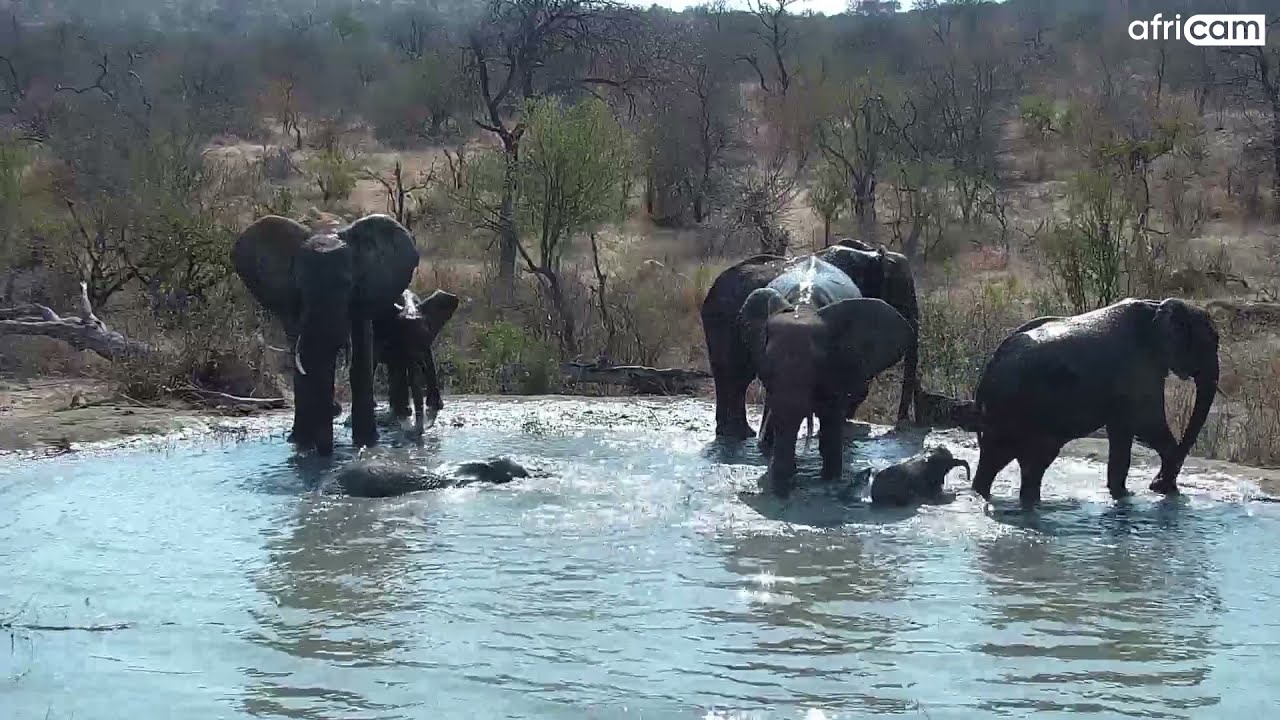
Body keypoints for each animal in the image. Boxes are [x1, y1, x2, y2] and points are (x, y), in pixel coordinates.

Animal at [232, 214, 420, 455]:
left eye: (347, 284)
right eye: (299, 285)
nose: (323, 452)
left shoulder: (365, 293)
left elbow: (360, 356)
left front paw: (366, 443)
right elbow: (302, 362)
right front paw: (304, 446)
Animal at [373, 288, 459, 435]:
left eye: (426, 334)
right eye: (402, 337)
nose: (426, 426)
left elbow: (429, 362)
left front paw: (435, 406)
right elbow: (400, 367)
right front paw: (404, 413)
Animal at [701, 238, 920, 439]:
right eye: (903, 290)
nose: (901, 425)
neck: (869, 254)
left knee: (732, 376)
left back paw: (735, 433)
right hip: (722, 320)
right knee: (734, 373)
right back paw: (738, 434)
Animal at [736, 254, 914, 495]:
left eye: (818, 366)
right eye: (767, 370)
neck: (803, 308)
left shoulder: (837, 363)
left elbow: (831, 419)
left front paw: (830, 480)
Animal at [970, 298, 1220, 507]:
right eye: (1212, 342)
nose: (1155, 484)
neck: (1157, 306)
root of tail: (988, 371)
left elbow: (1123, 433)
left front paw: (1126, 495)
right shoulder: (1140, 369)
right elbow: (1148, 425)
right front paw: (1168, 492)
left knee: (1012, 464)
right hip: (1015, 409)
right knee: (1019, 460)